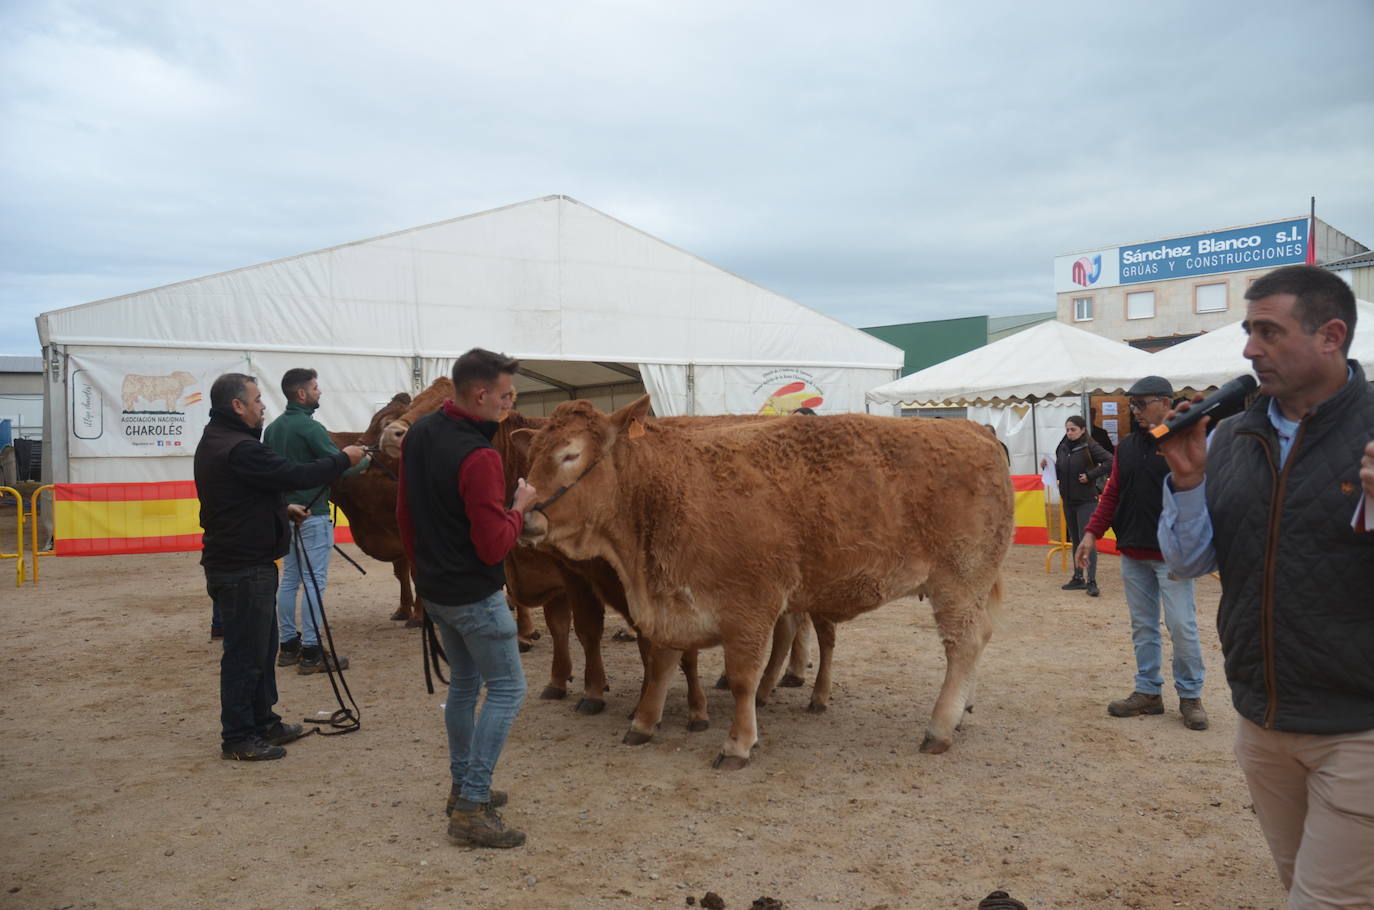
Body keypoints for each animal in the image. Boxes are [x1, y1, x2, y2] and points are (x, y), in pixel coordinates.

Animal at [519, 398, 1016, 769]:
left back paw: (940, 726)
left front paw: (738, 743)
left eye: (569, 454)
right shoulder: (671, 604)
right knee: (982, 637)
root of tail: (974, 431)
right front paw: (642, 723)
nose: (522, 515)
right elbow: (660, 664)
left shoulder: (750, 607)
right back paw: (962, 712)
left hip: (958, 579)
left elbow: (742, 678)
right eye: (531, 454)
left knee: (964, 644)